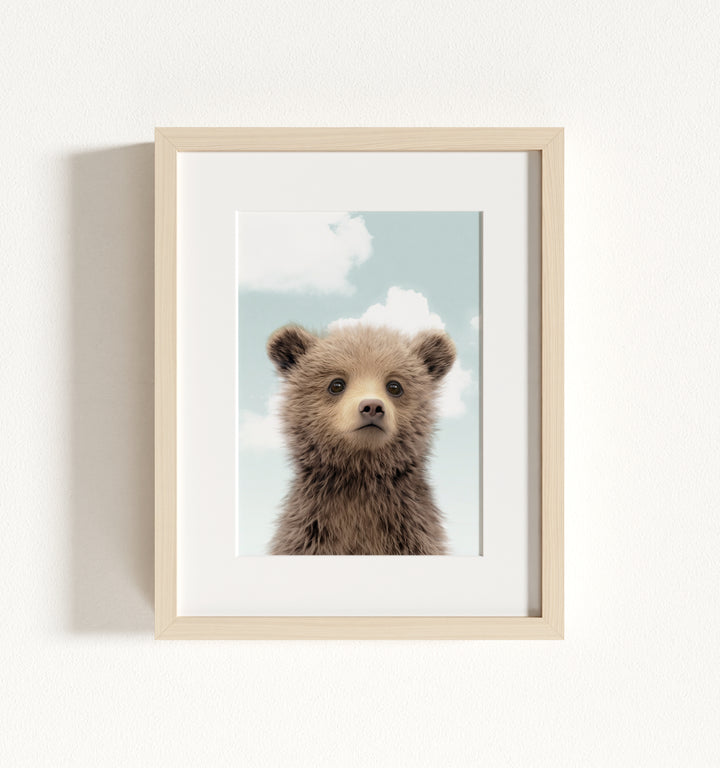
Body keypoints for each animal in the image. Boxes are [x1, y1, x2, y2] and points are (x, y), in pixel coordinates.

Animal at [266, 322, 456, 555]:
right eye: (336, 384)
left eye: (394, 386)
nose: (372, 406)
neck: (359, 476)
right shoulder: (310, 531)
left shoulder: (411, 532)